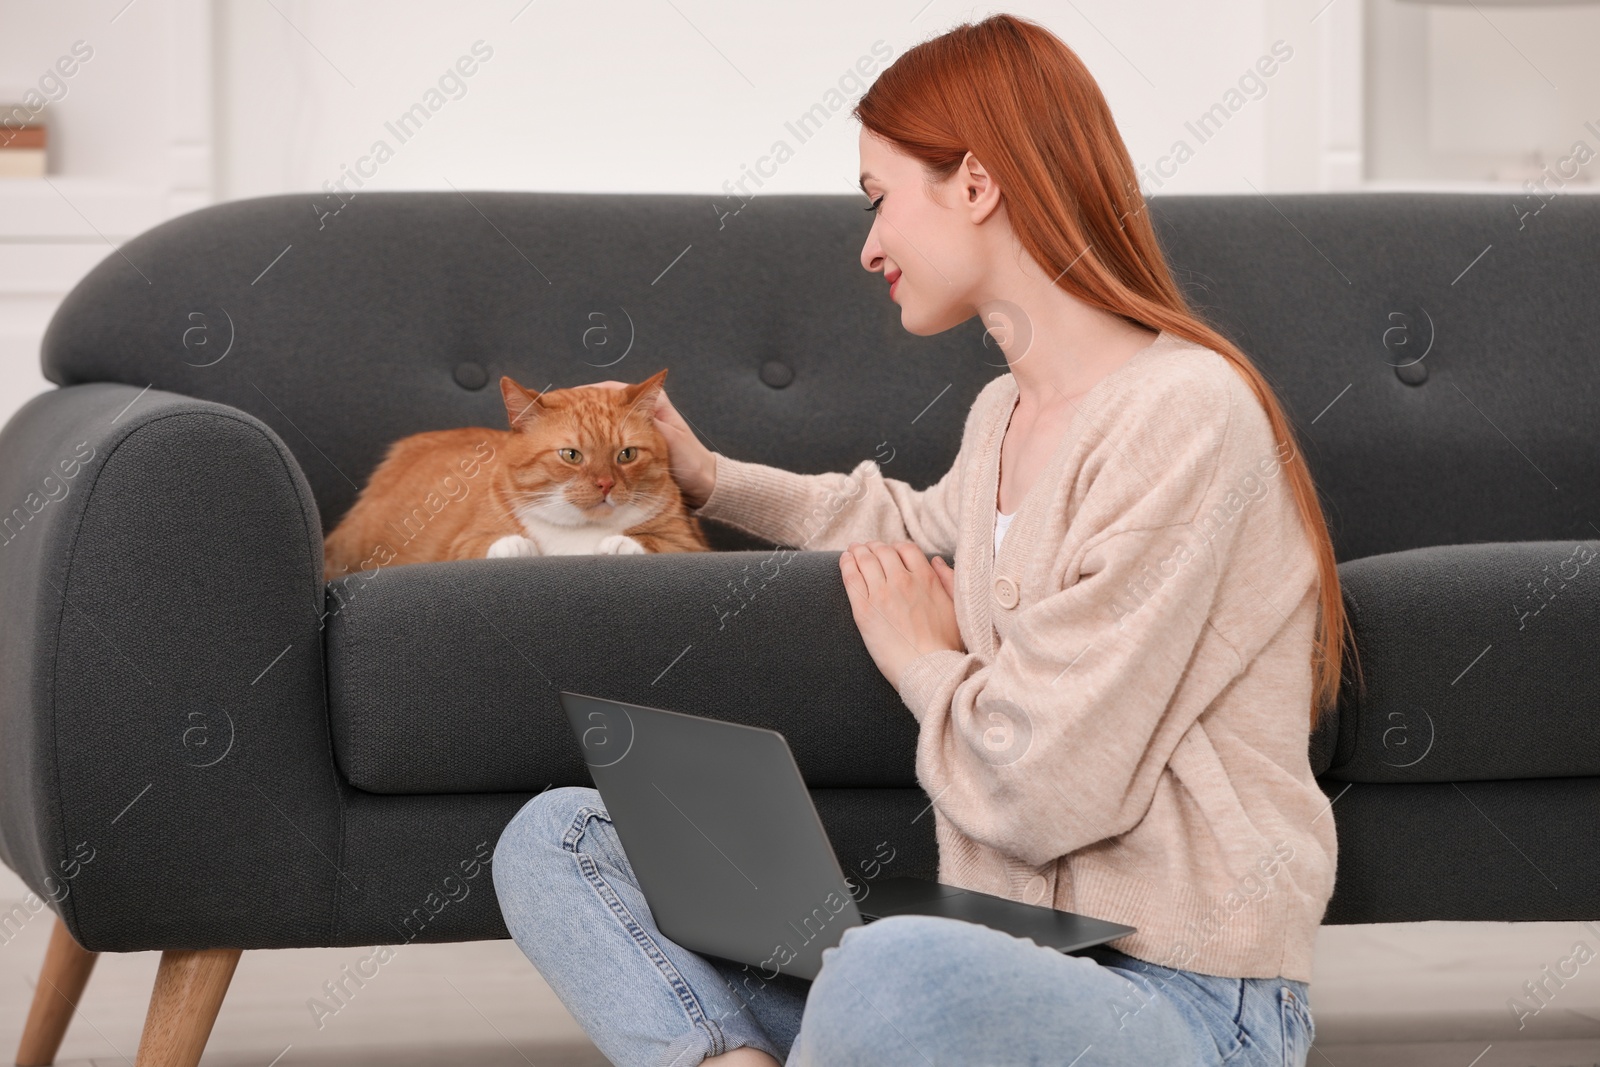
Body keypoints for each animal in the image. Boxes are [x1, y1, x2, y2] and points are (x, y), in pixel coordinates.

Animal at [321, 369, 710, 585]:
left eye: (626, 455)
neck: (577, 536)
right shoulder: (460, 545)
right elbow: (484, 544)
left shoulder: (693, 545)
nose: (605, 484)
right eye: (571, 455)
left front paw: (620, 543)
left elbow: (659, 543)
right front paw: (516, 545)